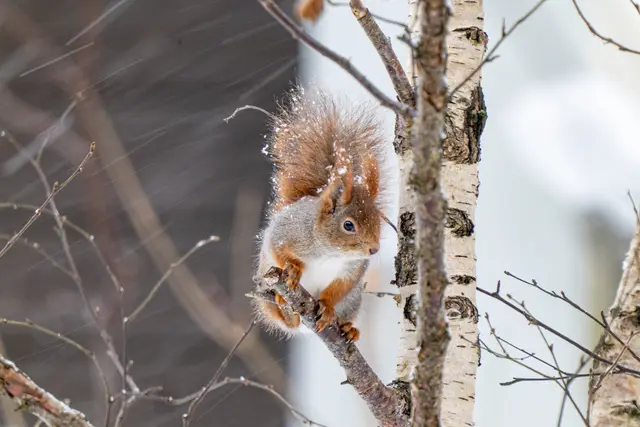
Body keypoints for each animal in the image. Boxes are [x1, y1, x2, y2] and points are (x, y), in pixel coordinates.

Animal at [252, 87, 393, 342]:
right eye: (349, 225)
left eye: (378, 221)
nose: (374, 249)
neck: (329, 251)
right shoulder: (285, 232)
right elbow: (278, 251)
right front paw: (295, 269)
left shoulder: (351, 269)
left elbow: (339, 288)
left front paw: (326, 307)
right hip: (266, 294)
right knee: (284, 320)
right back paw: (286, 310)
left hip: (352, 301)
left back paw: (348, 328)